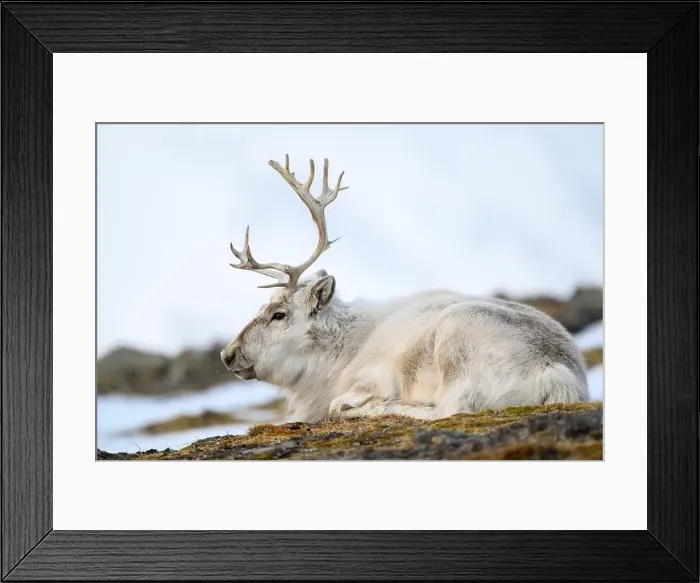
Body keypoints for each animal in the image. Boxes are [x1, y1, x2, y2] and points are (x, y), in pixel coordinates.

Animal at [220, 154, 590, 424]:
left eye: (279, 314)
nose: (228, 354)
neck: (335, 358)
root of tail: (559, 378)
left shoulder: (369, 379)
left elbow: (339, 405)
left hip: (457, 346)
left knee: (448, 410)